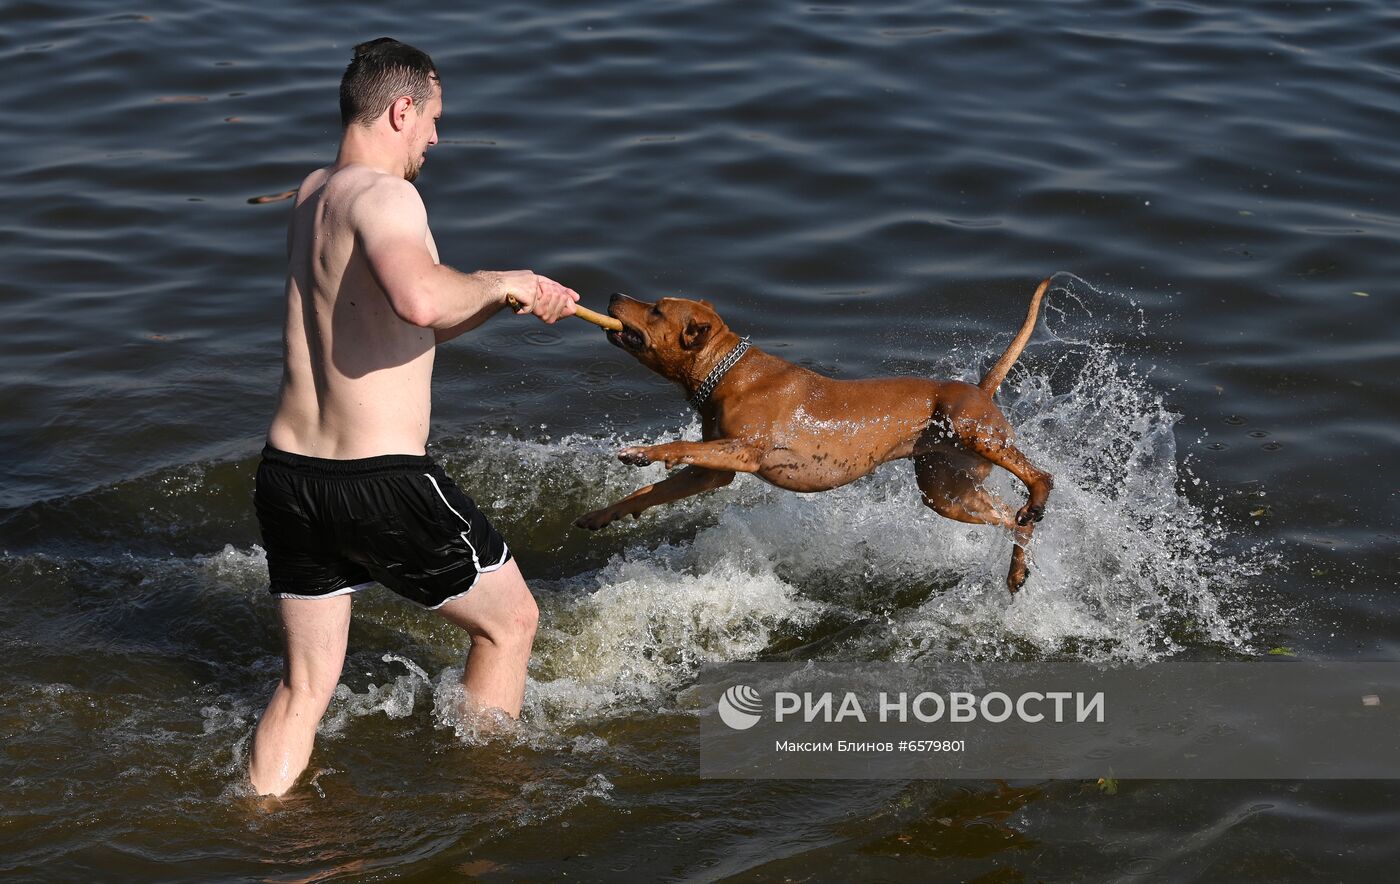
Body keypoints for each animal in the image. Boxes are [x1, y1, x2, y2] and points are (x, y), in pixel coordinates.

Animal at [576, 280, 1052, 591]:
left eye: (656, 309)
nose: (614, 295)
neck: (726, 372)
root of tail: (981, 389)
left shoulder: (742, 451)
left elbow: (679, 446)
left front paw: (642, 452)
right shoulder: (711, 472)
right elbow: (649, 491)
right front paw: (603, 514)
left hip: (972, 431)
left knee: (1040, 477)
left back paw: (1037, 501)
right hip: (947, 490)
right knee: (1013, 521)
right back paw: (1016, 567)